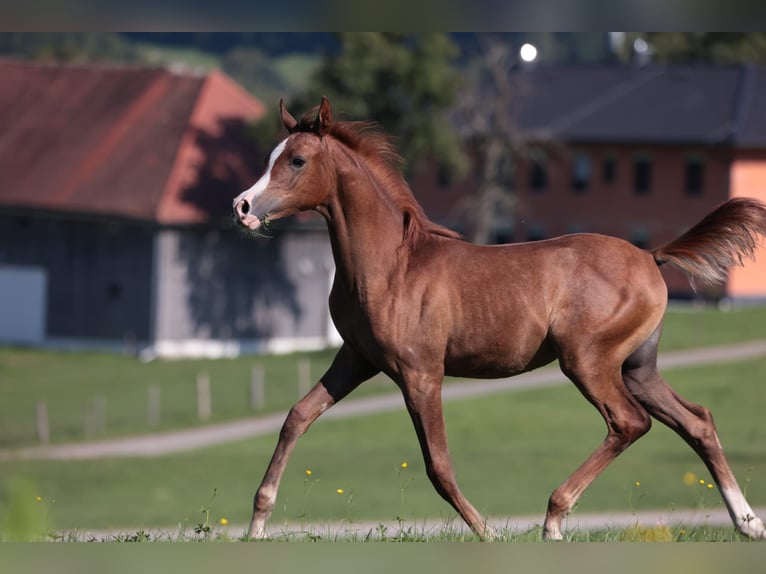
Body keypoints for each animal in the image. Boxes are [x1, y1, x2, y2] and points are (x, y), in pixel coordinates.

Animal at [233, 97, 766, 541]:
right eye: (272, 156)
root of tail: (650, 256)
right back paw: (747, 523)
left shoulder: (420, 373)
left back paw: (554, 519)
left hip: (587, 360)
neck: (391, 266)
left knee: (629, 422)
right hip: (637, 367)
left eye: (297, 160)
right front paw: (256, 525)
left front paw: (488, 533)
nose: (242, 207)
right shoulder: (356, 359)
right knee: (697, 421)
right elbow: (296, 418)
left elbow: (438, 466)